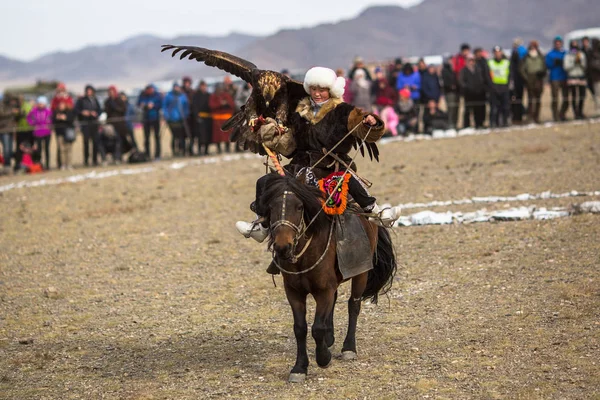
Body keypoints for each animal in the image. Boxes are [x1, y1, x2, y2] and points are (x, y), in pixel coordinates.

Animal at [262, 174, 398, 382]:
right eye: (270, 208)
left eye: (299, 207)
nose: (282, 247)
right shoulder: (293, 291)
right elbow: (300, 328)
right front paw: (299, 368)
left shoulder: (323, 289)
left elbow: (317, 327)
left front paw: (323, 357)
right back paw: (330, 337)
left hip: (361, 274)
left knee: (353, 305)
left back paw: (348, 348)